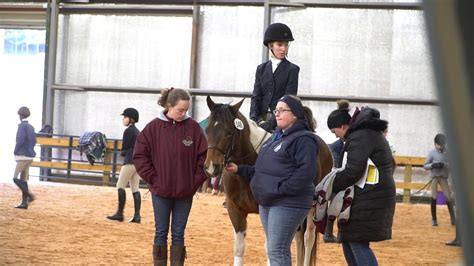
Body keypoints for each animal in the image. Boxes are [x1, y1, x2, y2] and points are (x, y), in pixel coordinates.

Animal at [204, 96, 334, 266]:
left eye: (228, 132)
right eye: (207, 130)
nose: (211, 168)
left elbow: (269, 249)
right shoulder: (235, 210)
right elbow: (239, 248)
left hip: (314, 207)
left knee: (308, 238)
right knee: (299, 237)